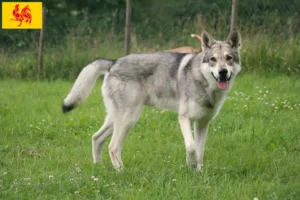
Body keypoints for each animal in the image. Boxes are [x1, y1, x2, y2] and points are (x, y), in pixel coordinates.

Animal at [62, 29, 241, 170]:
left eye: (229, 58)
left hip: (118, 118)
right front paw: (190, 165)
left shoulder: (203, 123)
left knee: (96, 138)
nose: (223, 72)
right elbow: (191, 147)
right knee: (113, 146)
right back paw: (121, 171)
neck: (204, 82)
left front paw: (198, 172)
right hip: (129, 119)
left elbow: (200, 151)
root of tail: (113, 62)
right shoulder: (183, 118)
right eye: (213, 59)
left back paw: (99, 167)